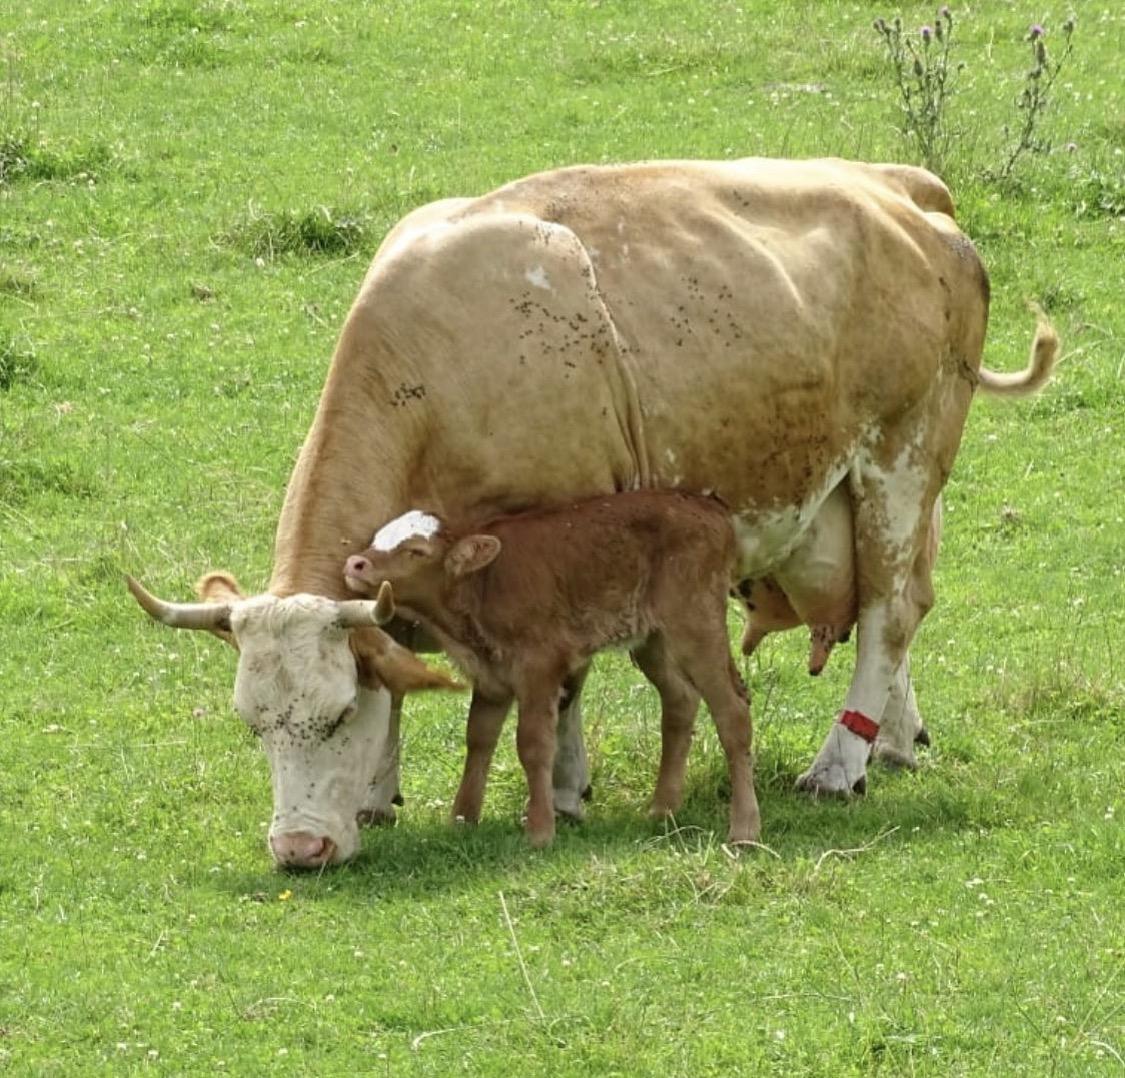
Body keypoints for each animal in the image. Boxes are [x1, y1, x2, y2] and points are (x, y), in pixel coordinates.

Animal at [342, 492, 760, 848]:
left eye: (416, 551)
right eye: (376, 538)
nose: (355, 563)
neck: (482, 588)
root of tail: (707, 506)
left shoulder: (539, 667)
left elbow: (533, 744)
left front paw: (540, 830)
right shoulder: (492, 677)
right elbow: (478, 739)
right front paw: (462, 820)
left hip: (695, 626)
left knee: (732, 713)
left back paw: (744, 829)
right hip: (653, 639)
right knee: (680, 701)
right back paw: (662, 808)